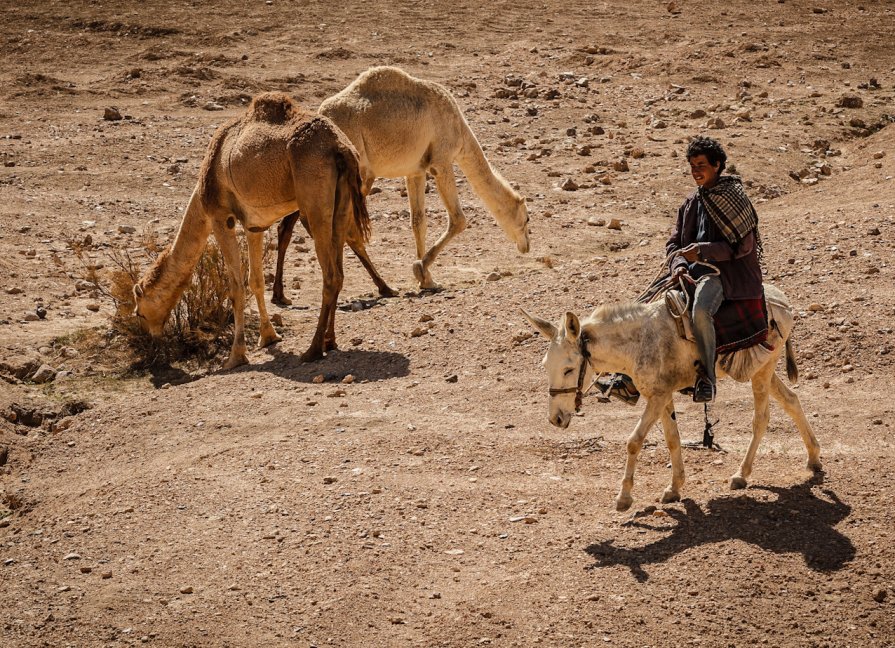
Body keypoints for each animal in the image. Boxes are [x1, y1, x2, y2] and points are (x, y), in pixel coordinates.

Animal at [133, 91, 388, 368]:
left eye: (140, 310)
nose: (149, 338)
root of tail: (341, 148)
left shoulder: (220, 217)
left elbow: (235, 286)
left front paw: (235, 356)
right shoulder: (254, 226)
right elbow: (254, 280)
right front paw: (268, 337)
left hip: (314, 202)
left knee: (331, 275)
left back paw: (312, 350)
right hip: (341, 203)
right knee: (340, 266)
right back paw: (330, 341)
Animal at [272, 63, 532, 302]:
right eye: (527, 218)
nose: (526, 246)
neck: (460, 130)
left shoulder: (415, 170)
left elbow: (418, 221)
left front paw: (426, 279)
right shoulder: (441, 161)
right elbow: (458, 219)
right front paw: (420, 269)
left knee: (290, 224)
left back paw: (280, 295)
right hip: (359, 172)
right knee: (345, 227)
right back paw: (383, 287)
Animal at [520, 284, 824, 512]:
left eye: (569, 369)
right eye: (546, 365)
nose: (556, 418)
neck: (638, 343)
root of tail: (781, 301)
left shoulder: (657, 397)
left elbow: (634, 441)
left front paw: (624, 498)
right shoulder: (661, 396)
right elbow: (672, 439)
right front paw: (674, 488)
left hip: (762, 370)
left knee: (761, 418)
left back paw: (741, 474)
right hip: (762, 370)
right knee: (792, 400)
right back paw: (813, 458)